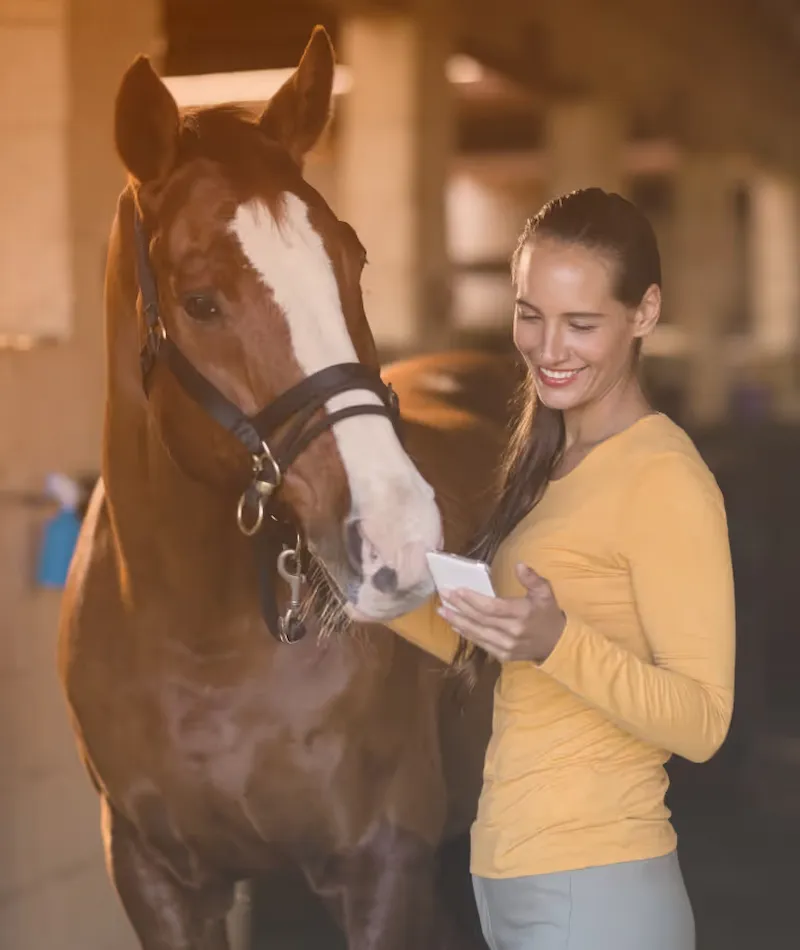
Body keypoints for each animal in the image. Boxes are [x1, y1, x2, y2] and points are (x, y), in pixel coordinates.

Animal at [58, 26, 518, 949]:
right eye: (200, 300)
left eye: (355, 257)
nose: (399, 536)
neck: (198, 641)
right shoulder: (158, 878)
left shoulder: (381, 867)